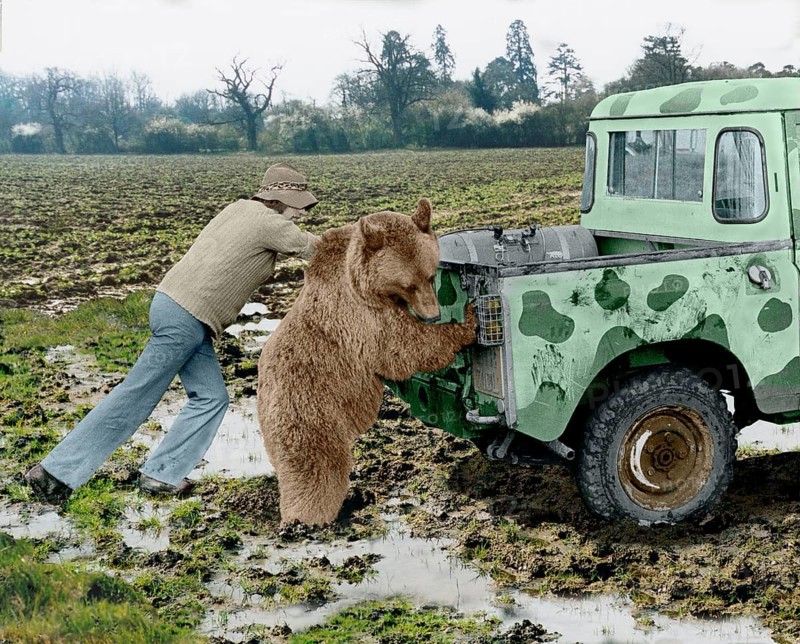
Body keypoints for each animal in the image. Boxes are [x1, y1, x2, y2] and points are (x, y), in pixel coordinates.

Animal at [256, 198, 476, 526]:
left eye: (429, 276)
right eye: (407, 284)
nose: (432, 314)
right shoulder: (362, 319)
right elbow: (405, 346)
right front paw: (467, 321)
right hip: (309, 410)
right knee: (317, 468)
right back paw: (305, 519)